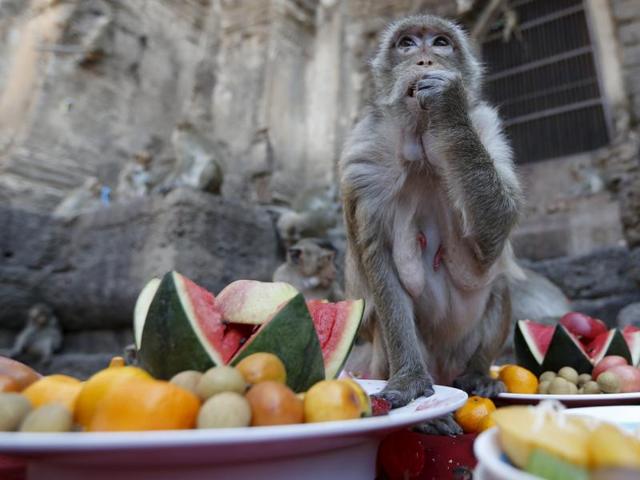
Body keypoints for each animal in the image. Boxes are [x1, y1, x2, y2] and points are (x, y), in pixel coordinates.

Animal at [340, 15, 524, 433]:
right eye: (407, 43)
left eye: (440, 43)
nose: (424, 60)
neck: (422, 140)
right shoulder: (364, 158)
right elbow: (380, 262)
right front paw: (410, 380)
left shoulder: (486, 127)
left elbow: (496, 233)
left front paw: (449, 107)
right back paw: (433, 415)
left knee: (498, 280)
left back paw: (479, 375)